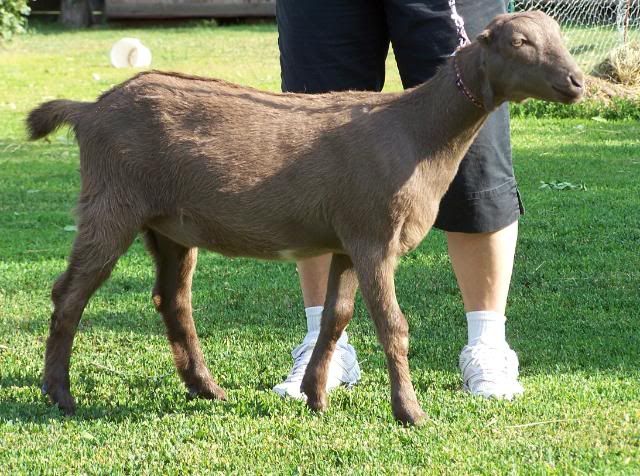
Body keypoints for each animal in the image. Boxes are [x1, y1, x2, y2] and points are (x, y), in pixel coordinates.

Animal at [27, 11, 583, 425]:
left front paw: (316, 396)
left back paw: (206, 389)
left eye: (557, 37)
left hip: (170, 226)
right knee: (69, 293)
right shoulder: (374, 234)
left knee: (172, 300)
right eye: (520, 42)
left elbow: (337, 316)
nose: (576, 82)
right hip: (111, 203)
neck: (418, 131)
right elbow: (392, 324)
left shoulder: (346, 240)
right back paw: (60, 394)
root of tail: (89, 110)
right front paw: (410, 412)